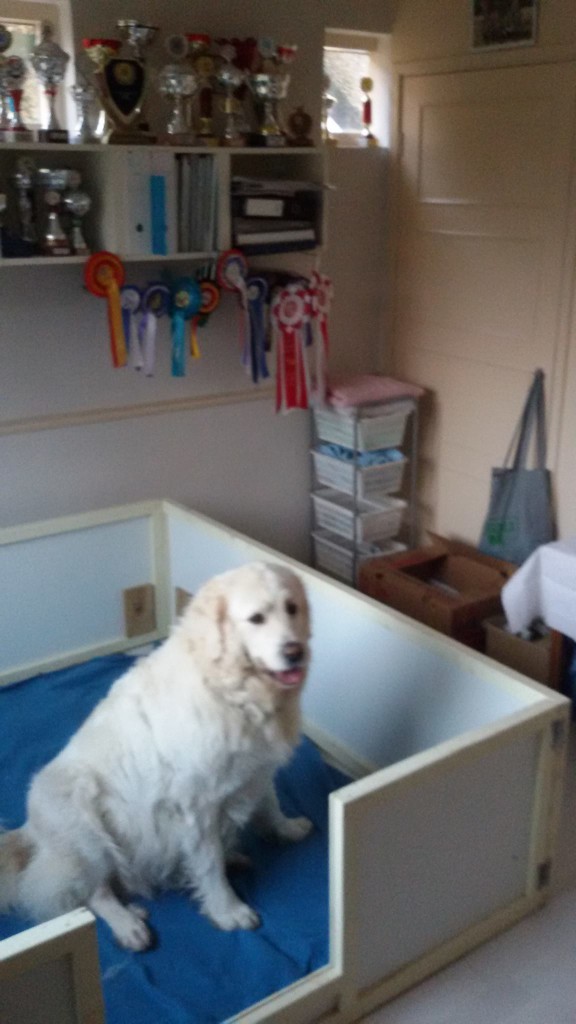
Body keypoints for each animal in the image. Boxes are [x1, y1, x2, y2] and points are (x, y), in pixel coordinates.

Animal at [0, 561, 312, 950]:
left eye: (292, 608)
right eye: (256, 618)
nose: (295, 651)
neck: (232, 690)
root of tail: (29, 829)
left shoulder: (256, 770)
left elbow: (270, 805)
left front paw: (288, 828)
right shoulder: (195, 807)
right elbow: (209, 866)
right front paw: (228, 911)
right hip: (86, 828)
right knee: (92, 893)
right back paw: (128, 925)